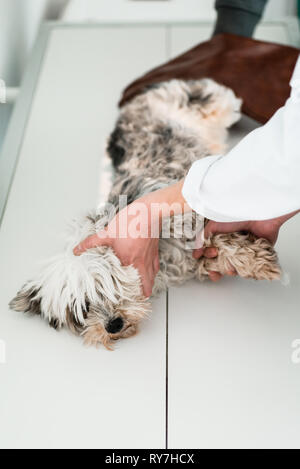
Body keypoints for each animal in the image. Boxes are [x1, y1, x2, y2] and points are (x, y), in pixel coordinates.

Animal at [9, 77, 282, 348]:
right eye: (82, 311)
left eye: (106, 285)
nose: (112, 325)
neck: (162, 259)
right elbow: (211, 256)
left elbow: (227, 239)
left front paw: (258, 261)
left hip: (208, 102)